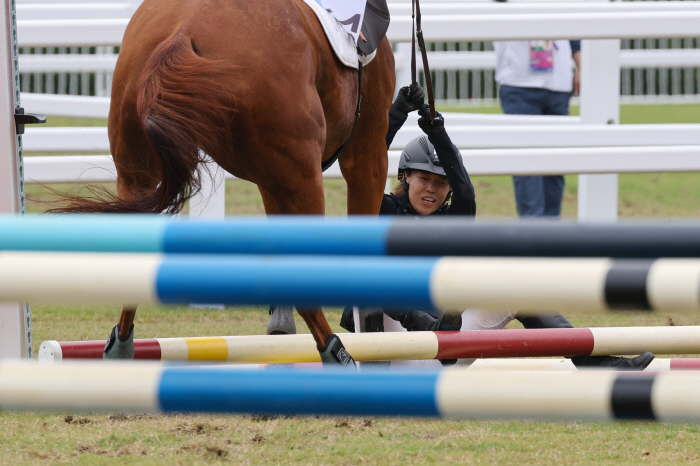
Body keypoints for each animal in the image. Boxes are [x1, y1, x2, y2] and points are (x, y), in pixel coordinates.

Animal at [58, 0, 396, 360]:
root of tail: (182, 31)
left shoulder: (274, 179)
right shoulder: (365, 154)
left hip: (138, 174)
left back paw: (120, 347)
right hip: (303, 178)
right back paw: (337, 354)